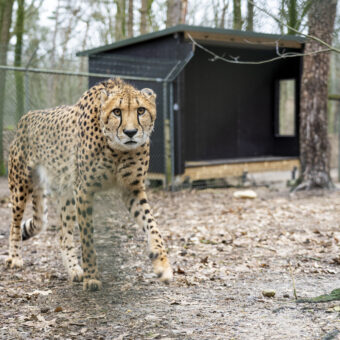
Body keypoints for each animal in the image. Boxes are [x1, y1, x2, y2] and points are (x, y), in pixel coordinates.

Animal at [5, 78, 173, 290]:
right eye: (116, 111)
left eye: (141, 110)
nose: (130, 132)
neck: (117, 149)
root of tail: (26, 116)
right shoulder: (84, 190)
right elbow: (87, 238)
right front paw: (92, 276)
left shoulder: (132, 189)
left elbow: (153, 227)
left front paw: (162, 265)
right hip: (21, 184)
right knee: (15, 224)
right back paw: (15, 258)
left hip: (66, 193)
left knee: (62, 234)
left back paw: (74, 270)